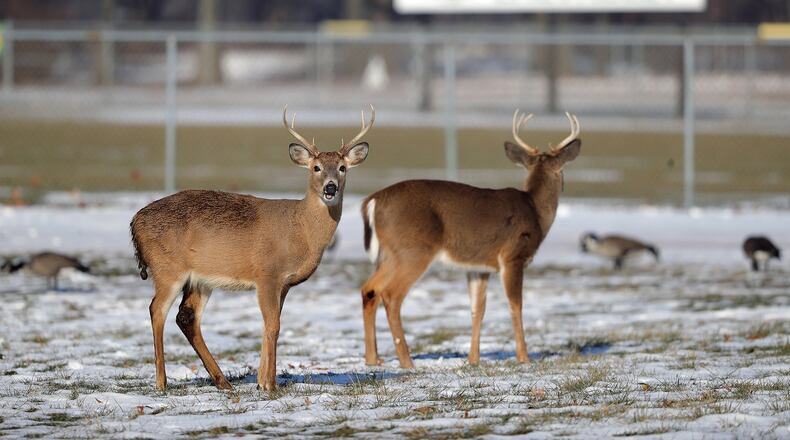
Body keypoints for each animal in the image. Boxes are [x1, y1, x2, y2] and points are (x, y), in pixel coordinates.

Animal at [130, 105, 374, 391]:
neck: (300, 229)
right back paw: (162, 382)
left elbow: (269, 325)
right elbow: (274, 325)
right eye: (316, 167)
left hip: (200, 279)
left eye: (343, 168)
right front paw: (270, 384)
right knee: (157, 310)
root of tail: (135, 222)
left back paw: (223, 381)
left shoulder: (284, 283)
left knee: (186, 317)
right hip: (168, 269)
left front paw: (261, 381)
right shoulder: (267, 274)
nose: (330, 187)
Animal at [359, 110, 580, 368]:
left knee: (369, 289)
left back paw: (373, 359)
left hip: (389, 255)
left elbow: (477, 309)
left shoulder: (479, 267)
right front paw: (523, 357)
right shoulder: (513, 256)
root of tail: (372, 201)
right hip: (413, 251)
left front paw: (473, 358)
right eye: (563, 171)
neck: (535, 210)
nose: (564, 185)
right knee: (391, 296)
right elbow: (516, 305)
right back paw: (407, 362)